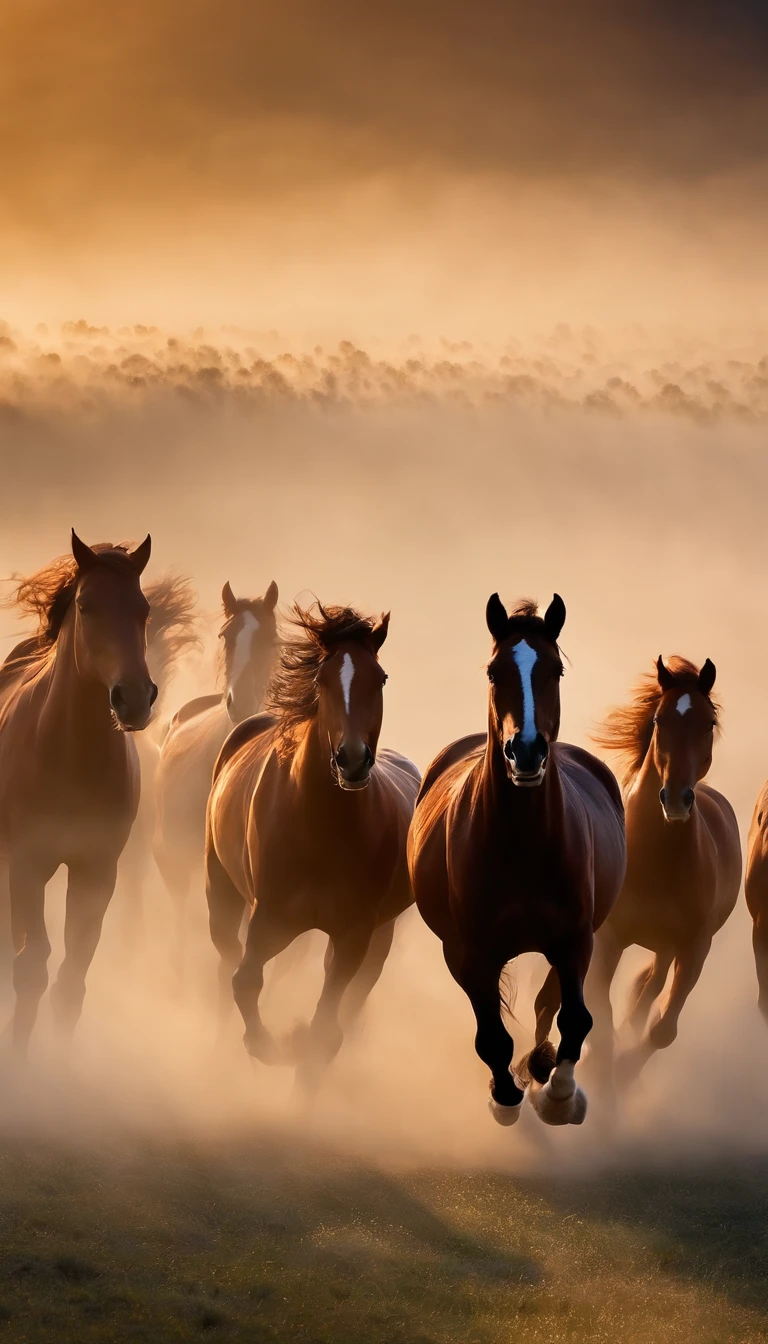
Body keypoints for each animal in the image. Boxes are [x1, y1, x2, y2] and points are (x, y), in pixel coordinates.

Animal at [0, 532, 156, 1048]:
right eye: (87, 606)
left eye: (144, 609)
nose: (134, 698)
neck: (72, 756)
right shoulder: (27, 864)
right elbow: (31, 967)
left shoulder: (96, 872)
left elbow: (71, 978)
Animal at [207, 604, 416, 1085]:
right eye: (322, 679)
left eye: (380, 678)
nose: (352, 759)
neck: (323, 826)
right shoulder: (270, 919)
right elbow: (245, 981)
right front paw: (270, 1047)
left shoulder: (355, 934)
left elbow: (327, 1024)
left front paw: (298, 1048)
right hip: (220, 888)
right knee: (227, 958)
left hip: (379, 934)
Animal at [408, 594, 624, 1128]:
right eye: (493, 670)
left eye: (555, 669)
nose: (524, 751)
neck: (522, 843)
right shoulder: (468, 952)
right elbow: (492, 1036)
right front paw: (504, 1095)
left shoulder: (575, 938)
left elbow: (575, 1018)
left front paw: (560, 1096)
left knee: (551, 1002)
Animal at [586, 658, 742, 1091]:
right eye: (659, 719)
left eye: (709, 722)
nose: (675, 799)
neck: (656, 861)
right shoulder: (609, 938)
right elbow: (599, 1019)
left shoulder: (694, 947)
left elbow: (662, 1030)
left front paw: (622, 1076)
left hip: (668, 947)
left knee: (651, 988)